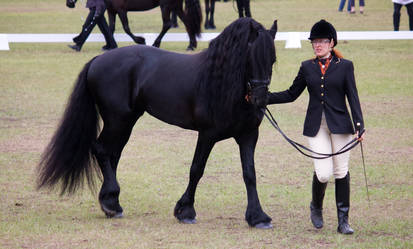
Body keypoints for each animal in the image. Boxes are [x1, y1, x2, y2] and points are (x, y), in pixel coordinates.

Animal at [37, 17, 276, 230]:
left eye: (272, 60)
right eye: (250, 58)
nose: (261, 100)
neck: (220, 83)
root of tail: (97, 60)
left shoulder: (248, 135)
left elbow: (249, 173)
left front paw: (258, 217)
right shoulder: (207, 134)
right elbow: (196, 169)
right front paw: (185, 211)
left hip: (126, 122)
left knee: (112, 154)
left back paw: (110, 201)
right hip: (117, 120)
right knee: (101, 149)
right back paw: (112, 204)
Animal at [65, 0, 202, 50]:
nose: (69, 4)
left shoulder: (121, 10)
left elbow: (126, 28)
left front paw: (140, 40)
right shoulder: (111, 10)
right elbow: (110, 28)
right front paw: (109, 45)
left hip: (166, 6)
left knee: (167, 24)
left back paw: (156, 44)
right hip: (176, 6)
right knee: (187, 22)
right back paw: (191, 45)